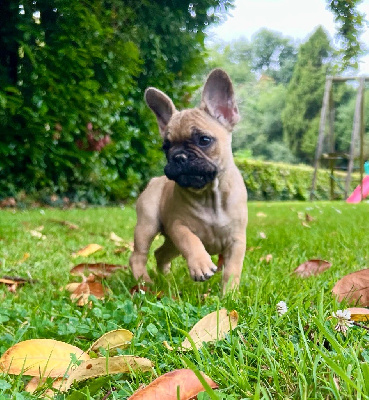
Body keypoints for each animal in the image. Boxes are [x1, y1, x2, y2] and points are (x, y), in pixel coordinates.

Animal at [129, 69, 247, 294]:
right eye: (166, 146)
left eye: (204, 140)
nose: (178, 157)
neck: (210, 194)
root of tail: (155, 180)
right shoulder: (178, 226)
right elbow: (190, 241)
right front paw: (201, 265)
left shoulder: (237, 240)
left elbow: (232, 269)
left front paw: (230, 294)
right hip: (147, 224)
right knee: (138, 256)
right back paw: (145, 283)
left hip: (170, 244)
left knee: (160, 253)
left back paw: (166, 279)